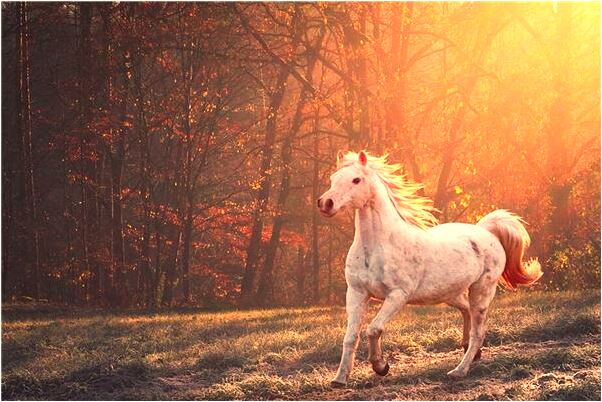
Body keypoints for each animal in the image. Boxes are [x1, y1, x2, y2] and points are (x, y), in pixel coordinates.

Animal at [316, 151, 540, 386]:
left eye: (356, 180)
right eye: (333, 178)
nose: (326, 203)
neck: (378, 246)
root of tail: (486, 231)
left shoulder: (398, 295)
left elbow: (373, 329)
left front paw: (381, 366)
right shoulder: (356, 293)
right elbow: (351, 337)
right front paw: (340, 378)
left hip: (481, 291)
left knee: (478, 332)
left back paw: (459, 370)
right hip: (449, 293)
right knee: (466, 311)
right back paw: (469, 351)